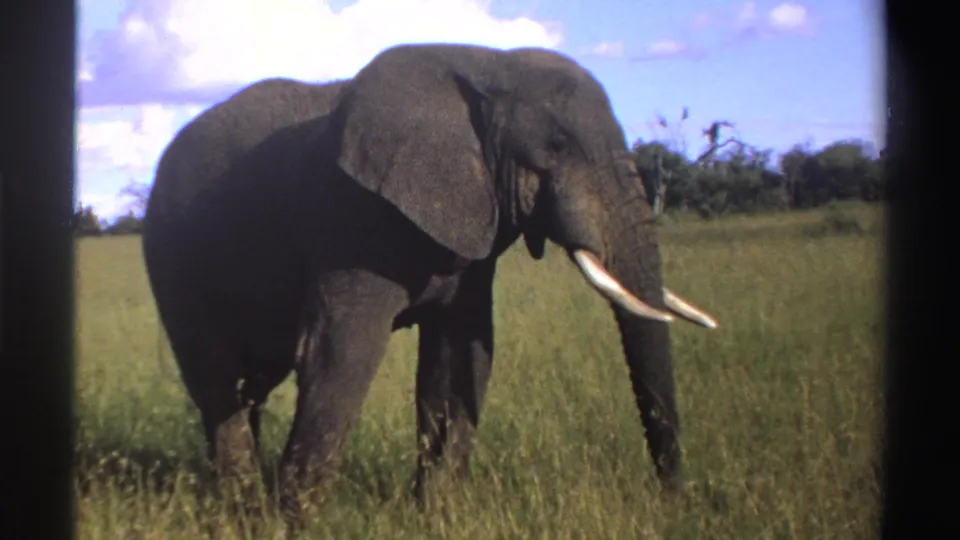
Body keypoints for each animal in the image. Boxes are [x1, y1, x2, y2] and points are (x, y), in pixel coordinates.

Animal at [142, 43, 718, 521]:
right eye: (557, 145)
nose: (673, 498)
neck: (489, 65)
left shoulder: (471, 234)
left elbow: (460, 357)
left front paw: (435, 516)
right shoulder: (350, 223)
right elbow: (340, 354)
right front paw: (291, 524)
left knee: (252, 384)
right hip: (172, 255)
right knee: (216, 378)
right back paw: (240, 505)